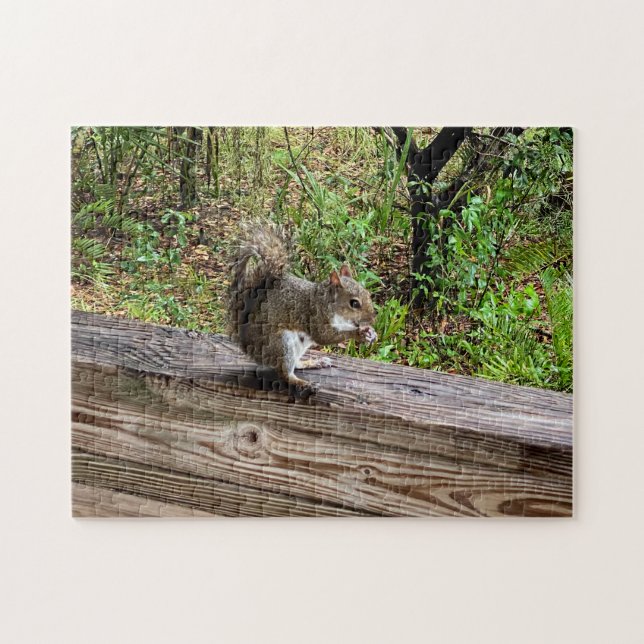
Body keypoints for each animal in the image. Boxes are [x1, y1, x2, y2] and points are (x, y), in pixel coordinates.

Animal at [228, 222, 378, 394]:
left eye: (368, 293)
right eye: (354, 303)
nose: (373, 317)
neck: (326, 303)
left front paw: (371, 333)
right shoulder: (314, 315)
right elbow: (325, 336)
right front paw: (358, 334)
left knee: (295, 365)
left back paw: (313, 363)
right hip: (280, 343)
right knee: (285, 373)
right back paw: (303, 383)